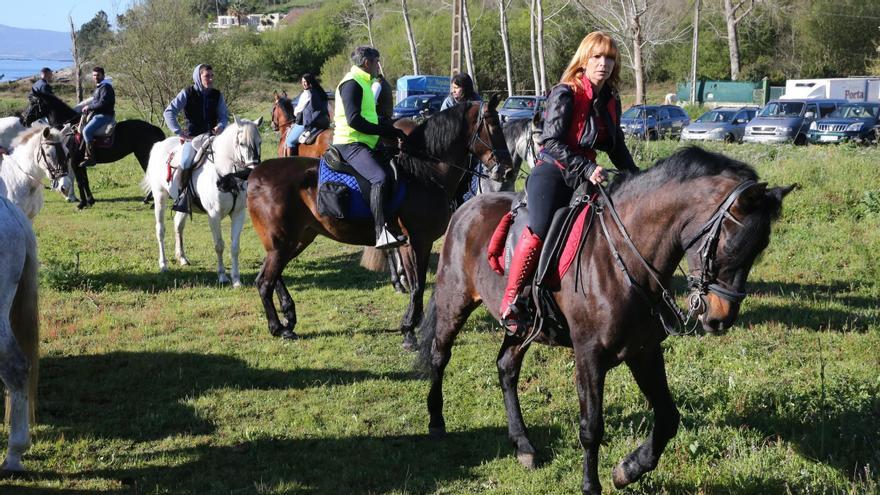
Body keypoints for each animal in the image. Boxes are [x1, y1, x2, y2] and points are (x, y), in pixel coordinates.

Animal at [22, 91, 166, 209]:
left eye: (33, 103)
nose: (23, 119)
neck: (69, 130)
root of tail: (154, 128)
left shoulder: (74, 162)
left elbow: (80, 182)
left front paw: (81, 203)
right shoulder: (81, 163)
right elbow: (85, 181)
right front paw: (90, 201)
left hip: (143, 156)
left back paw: (152, 202)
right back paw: (147, 200)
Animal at [144, 117, 262, 286]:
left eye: (260, 142)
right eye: (241, 143)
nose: (252, 170)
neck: (228, 176)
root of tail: (159, 145)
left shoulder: (239, 214)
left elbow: (235, 247)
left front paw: (236, 280)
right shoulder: (214, 215)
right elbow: (219, 245)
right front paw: (222, 276)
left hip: (183, 206)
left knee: (178, 226)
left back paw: (182, 258)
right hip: (160, 197)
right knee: (160, 230)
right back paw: (163, 265)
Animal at [416, 148, 796, 495]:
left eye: (760, 248)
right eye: (730, 244)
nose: (720, 318)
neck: (623, 257)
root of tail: (466, 207)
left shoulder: (644, 351)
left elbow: (668, 418)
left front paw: (628, 469)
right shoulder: (589, 356)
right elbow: (591, 428)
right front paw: (591, 485)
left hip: (522, 327)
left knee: (506, 367)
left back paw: (523, 444)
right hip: (454, 301)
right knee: (439, 356)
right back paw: (436, 422)